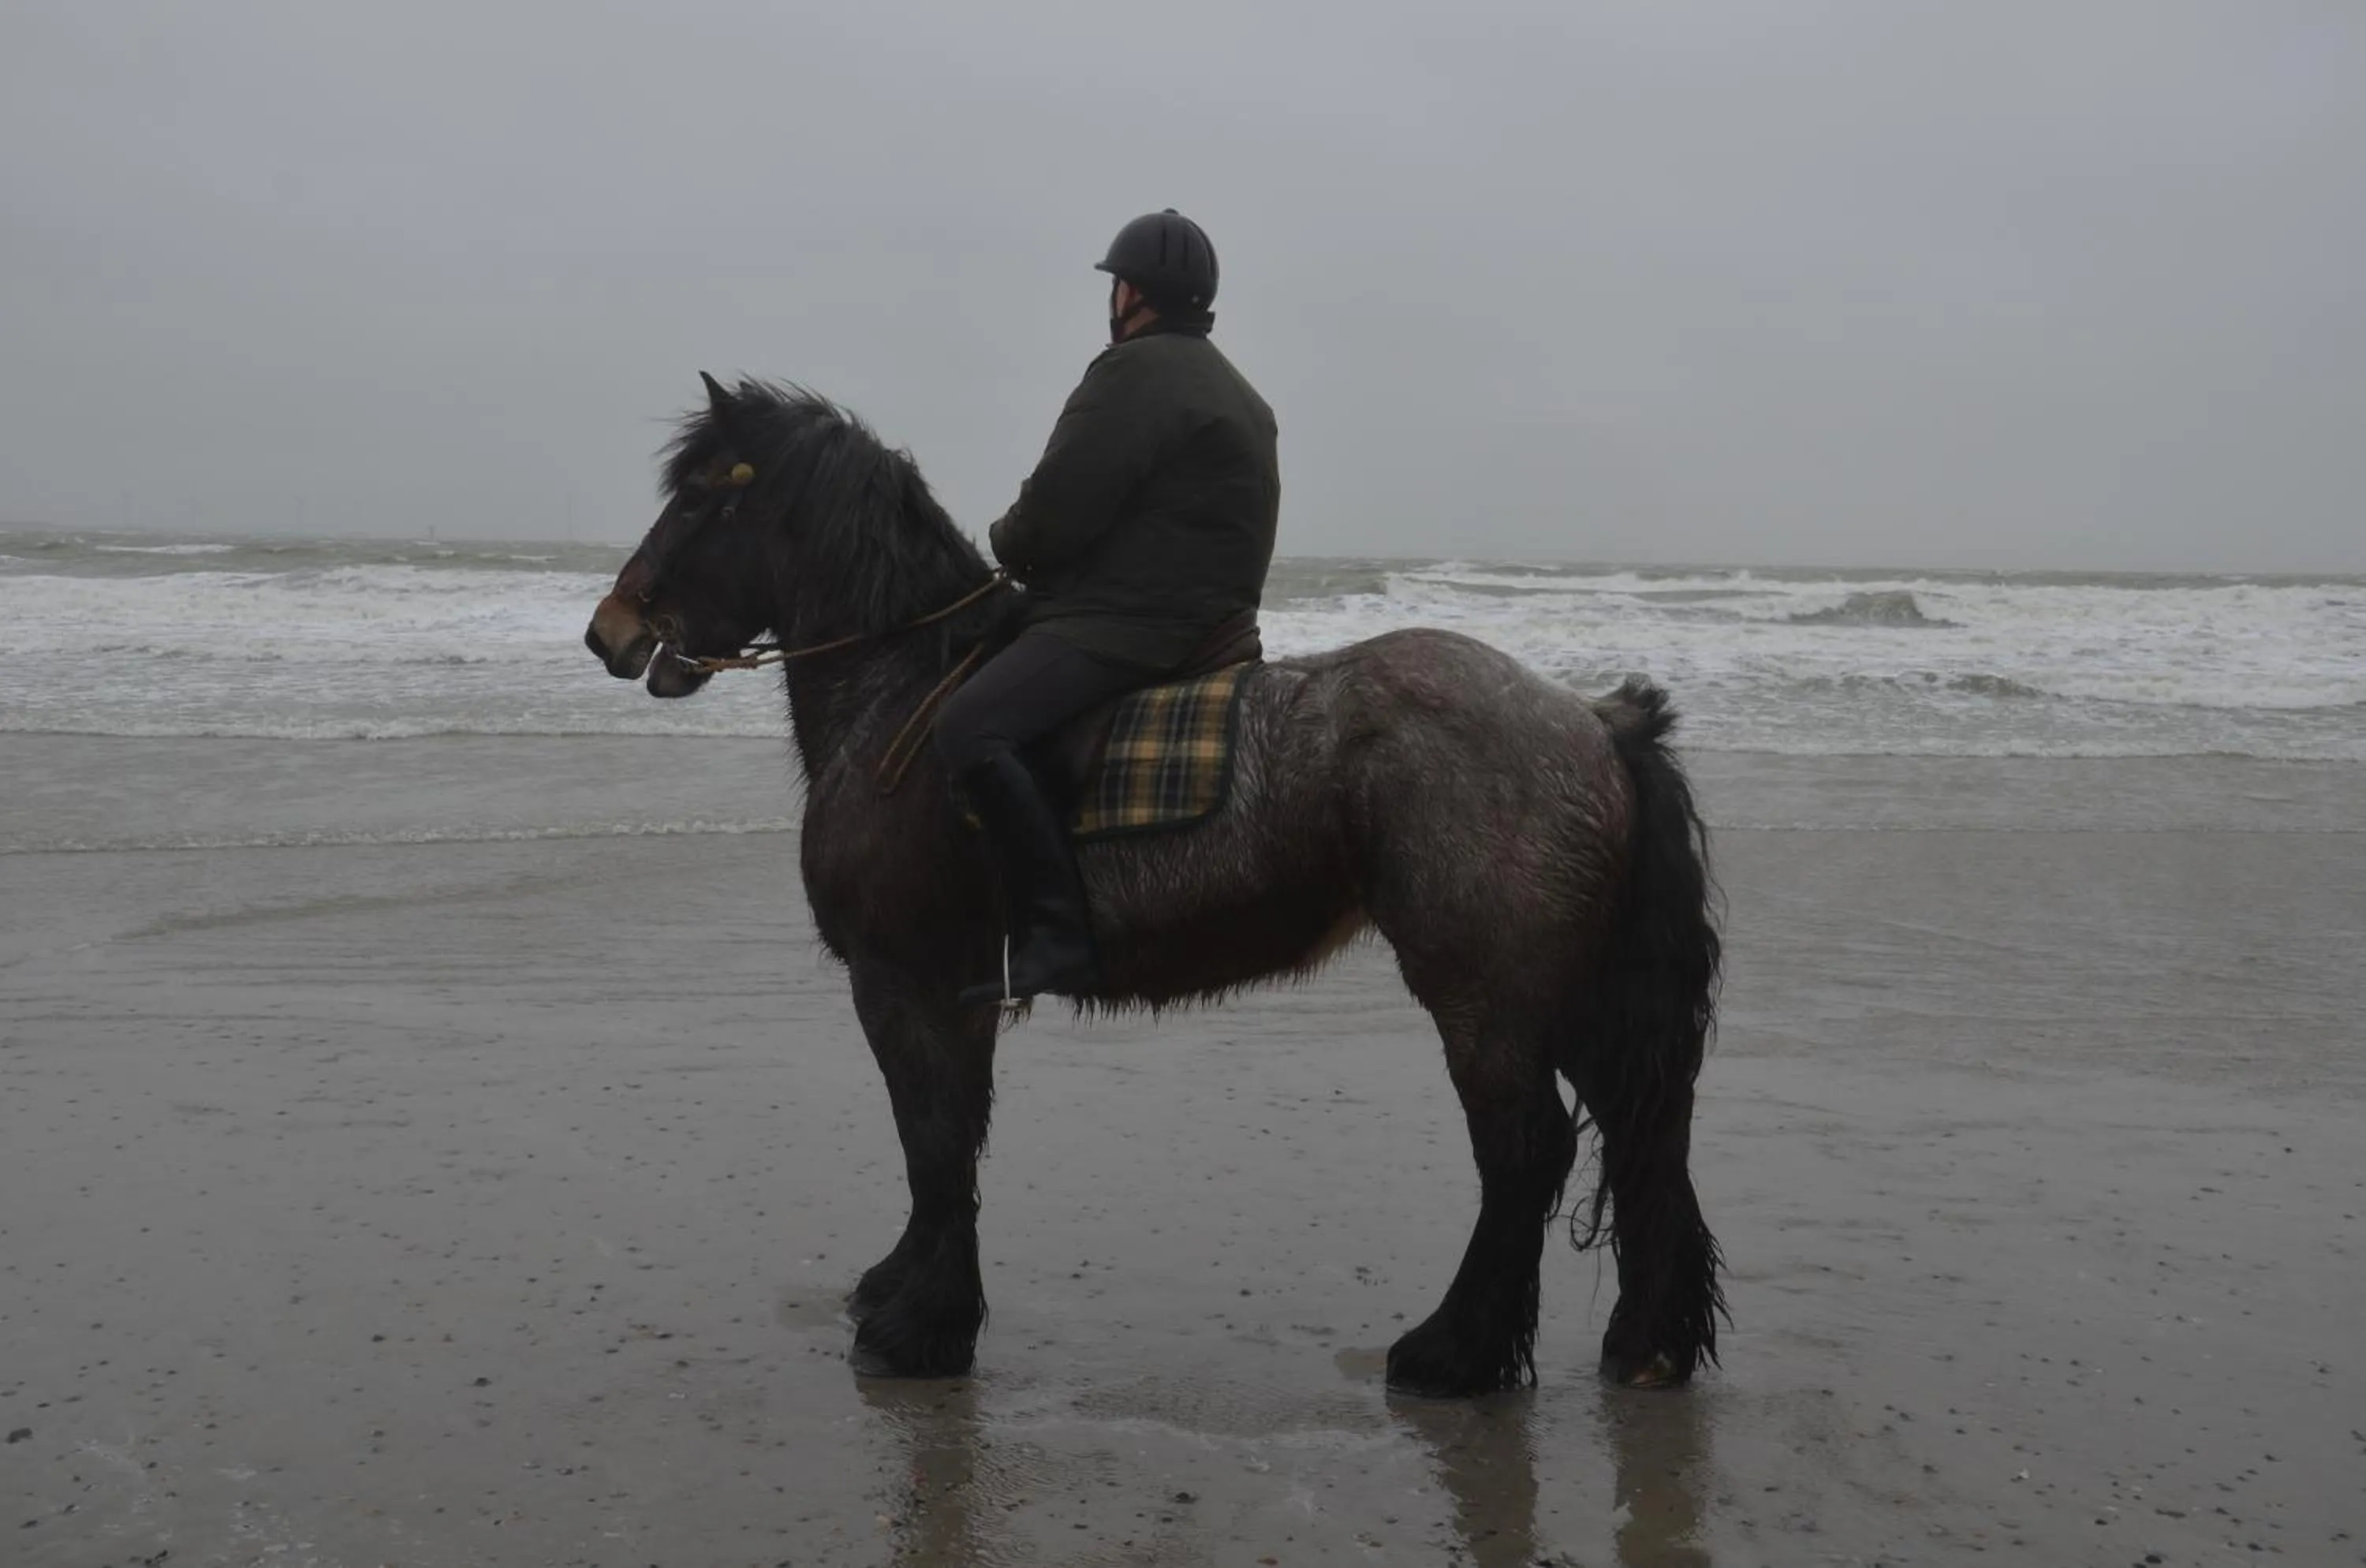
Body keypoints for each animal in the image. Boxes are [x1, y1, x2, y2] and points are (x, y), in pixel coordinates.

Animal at [583, 373, 1727, 1396]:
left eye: (703, 497)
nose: (610, 633)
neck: (900, 687)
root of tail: (1594, 721)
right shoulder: (958, 990)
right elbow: (947, 1144)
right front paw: (906, 1288)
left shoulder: (905, 980)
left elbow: (934, 1140)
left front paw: (921, 1330)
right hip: (1570, 991)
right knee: (1645, 1126)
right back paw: (1644, 1343)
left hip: (1485, 993)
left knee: (1525, 1150)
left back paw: (1456, 1352)